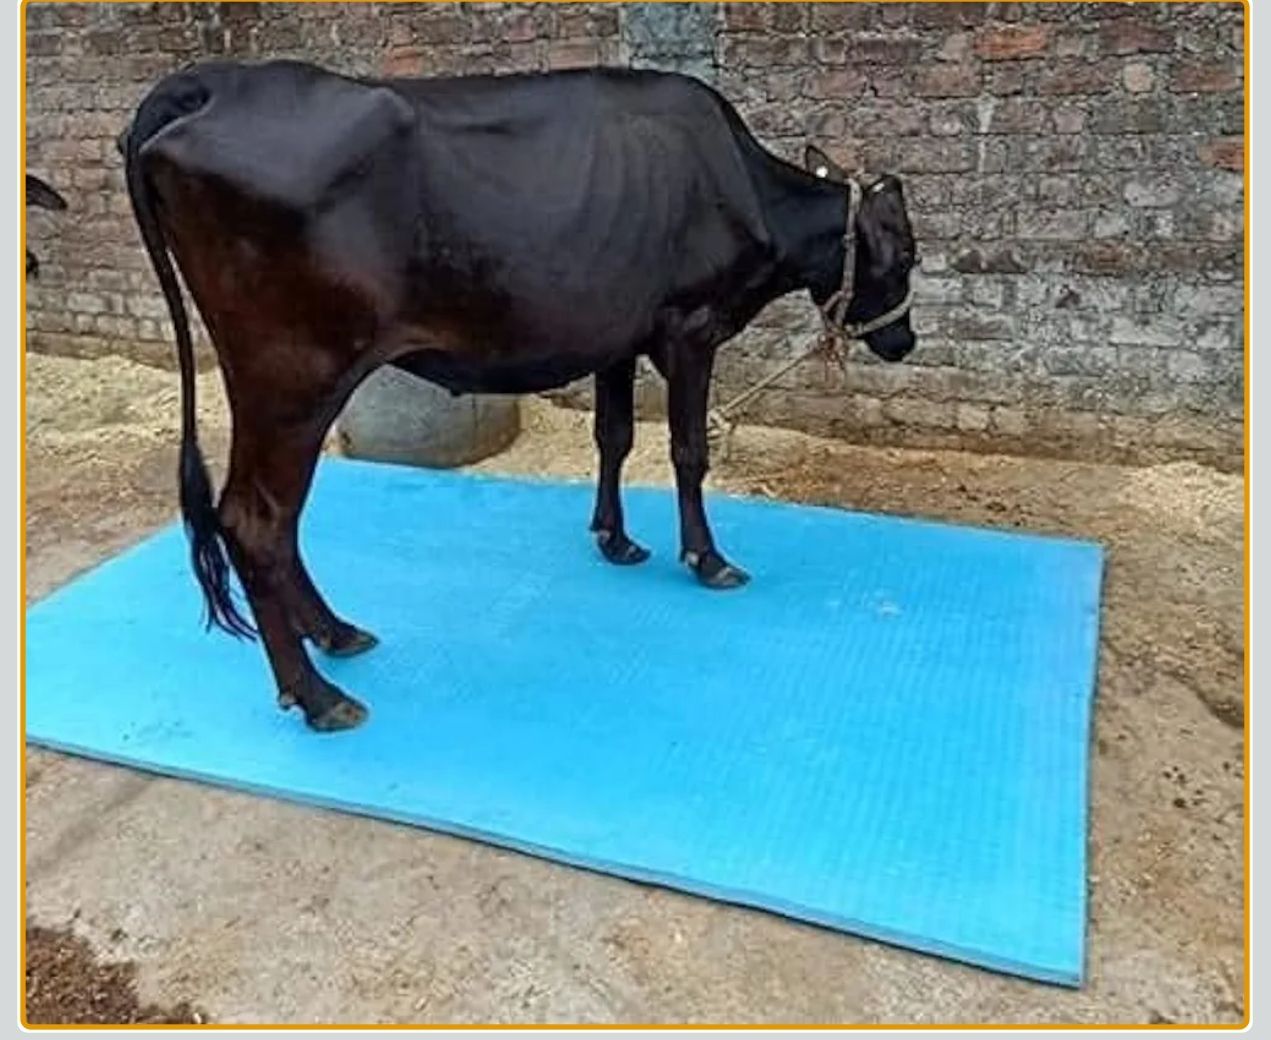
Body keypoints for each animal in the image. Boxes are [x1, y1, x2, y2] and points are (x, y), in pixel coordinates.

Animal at [120, 60, 919, 732]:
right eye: (907, 253)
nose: (904, 342)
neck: (742, 190)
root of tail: (213, 82)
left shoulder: (617, 334)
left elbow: (613, 437)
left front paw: (615, 539)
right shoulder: (692, 327)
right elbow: (688, 451)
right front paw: (707, 558)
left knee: (268, 525)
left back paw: (338, 636)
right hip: (295, 377)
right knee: (257, 522)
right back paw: (320, 696)